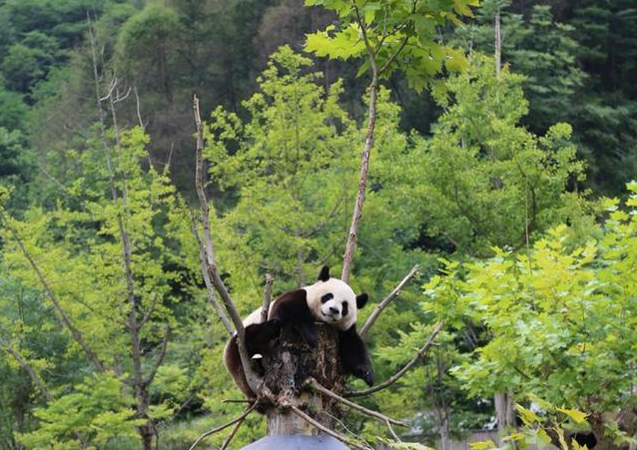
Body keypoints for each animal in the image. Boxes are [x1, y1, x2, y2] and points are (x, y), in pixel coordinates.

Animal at [224, 266, 372, 400]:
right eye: (328, 296)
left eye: (345, 305)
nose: (334, 310)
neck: (320, 320)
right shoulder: (299, 296)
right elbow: (289, 307)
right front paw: (312, 336)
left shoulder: (343, 330)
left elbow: (353, 347)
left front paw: (367, 374)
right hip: (238, 347)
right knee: (255, 335)